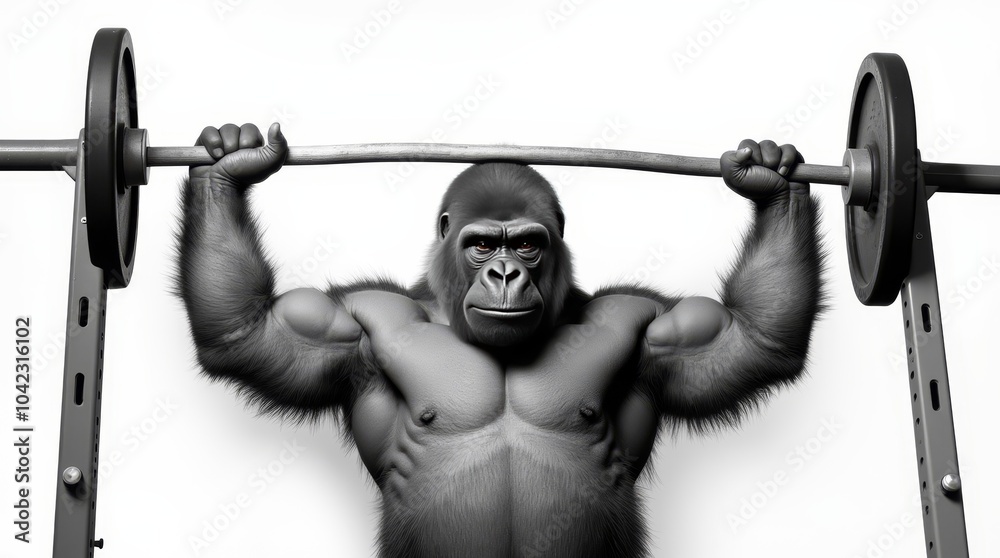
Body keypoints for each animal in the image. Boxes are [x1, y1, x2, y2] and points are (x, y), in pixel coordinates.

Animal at [175, 122, 823, 557]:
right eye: (483, 244)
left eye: (529, 244)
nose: (506, 273)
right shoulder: (354, 323)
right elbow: (250, 330)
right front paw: (229, 159)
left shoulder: (649, 326)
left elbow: (751, 339)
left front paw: (770, 175)